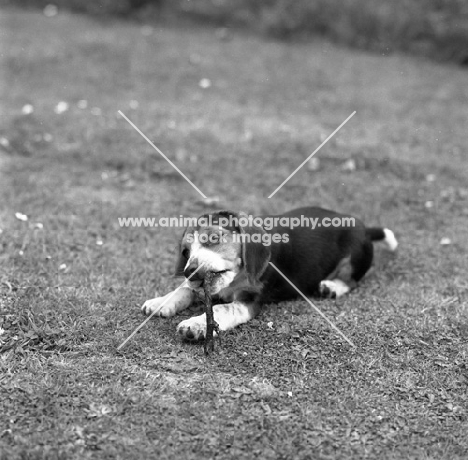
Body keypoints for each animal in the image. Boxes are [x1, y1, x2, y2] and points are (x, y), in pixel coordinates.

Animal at [141, 207, 396, 340]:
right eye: (185, 252)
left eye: (213, 238)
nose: (189, 271)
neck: (235, 279)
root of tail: (364, 227)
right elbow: (183, 289)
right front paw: (161, 302)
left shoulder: (250, 301)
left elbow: (223, 309)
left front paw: (196, 324)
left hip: (355, 255)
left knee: (352, 279)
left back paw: (332, 286)